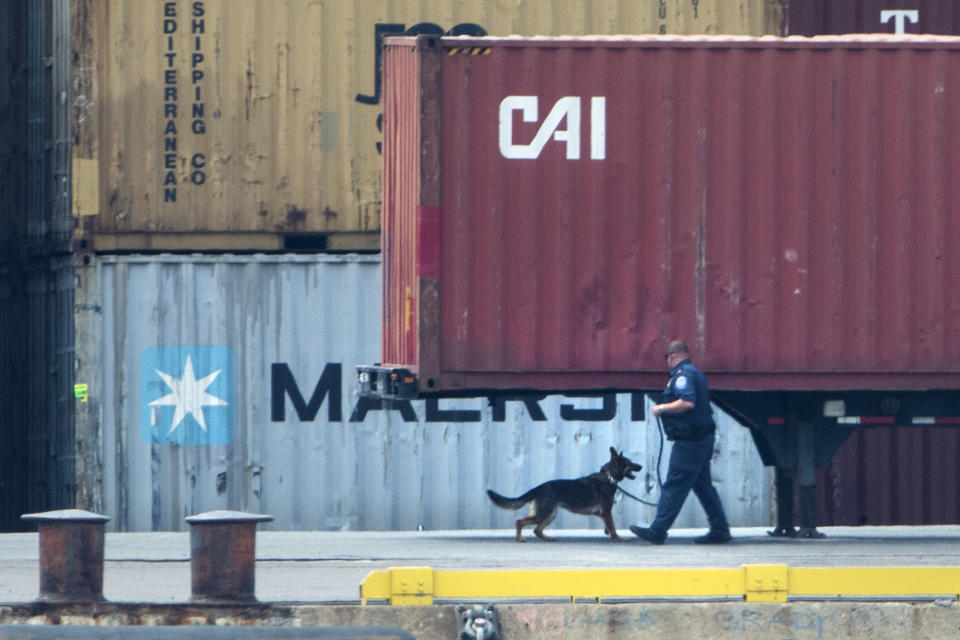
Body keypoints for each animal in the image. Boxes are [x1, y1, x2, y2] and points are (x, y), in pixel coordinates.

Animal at [492, 448, 640, 544]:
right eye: (630, 463)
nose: (641, 466)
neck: (609, 477)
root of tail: (539, 488)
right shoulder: (606, 512)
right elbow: (613, 527)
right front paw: (618, 538)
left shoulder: (605, 514)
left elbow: (609, 527)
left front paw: (611, 535)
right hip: (543, 513)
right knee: (520, 522)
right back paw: (520, 538)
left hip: (550, 514)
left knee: (537, 530)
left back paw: (548, 538)